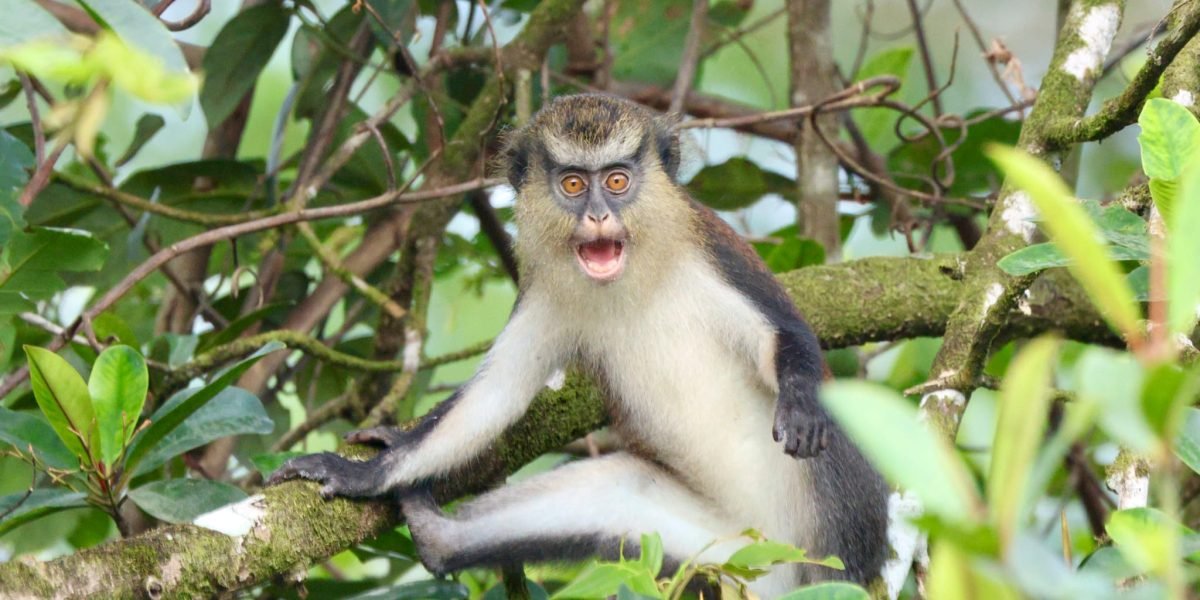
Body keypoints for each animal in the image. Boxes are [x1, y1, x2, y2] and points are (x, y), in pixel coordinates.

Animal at [268, 94, 889, 596]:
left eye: (616, 180)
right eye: (571, 183)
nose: (597, 216)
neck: (634, 277)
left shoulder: (714, 253)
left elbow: (784, 337)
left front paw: (801, 403)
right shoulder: (545, 294)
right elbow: (495, 395)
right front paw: (371, 472)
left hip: (829, 536)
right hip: (724, 548)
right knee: (615, 490)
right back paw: (437, 535)